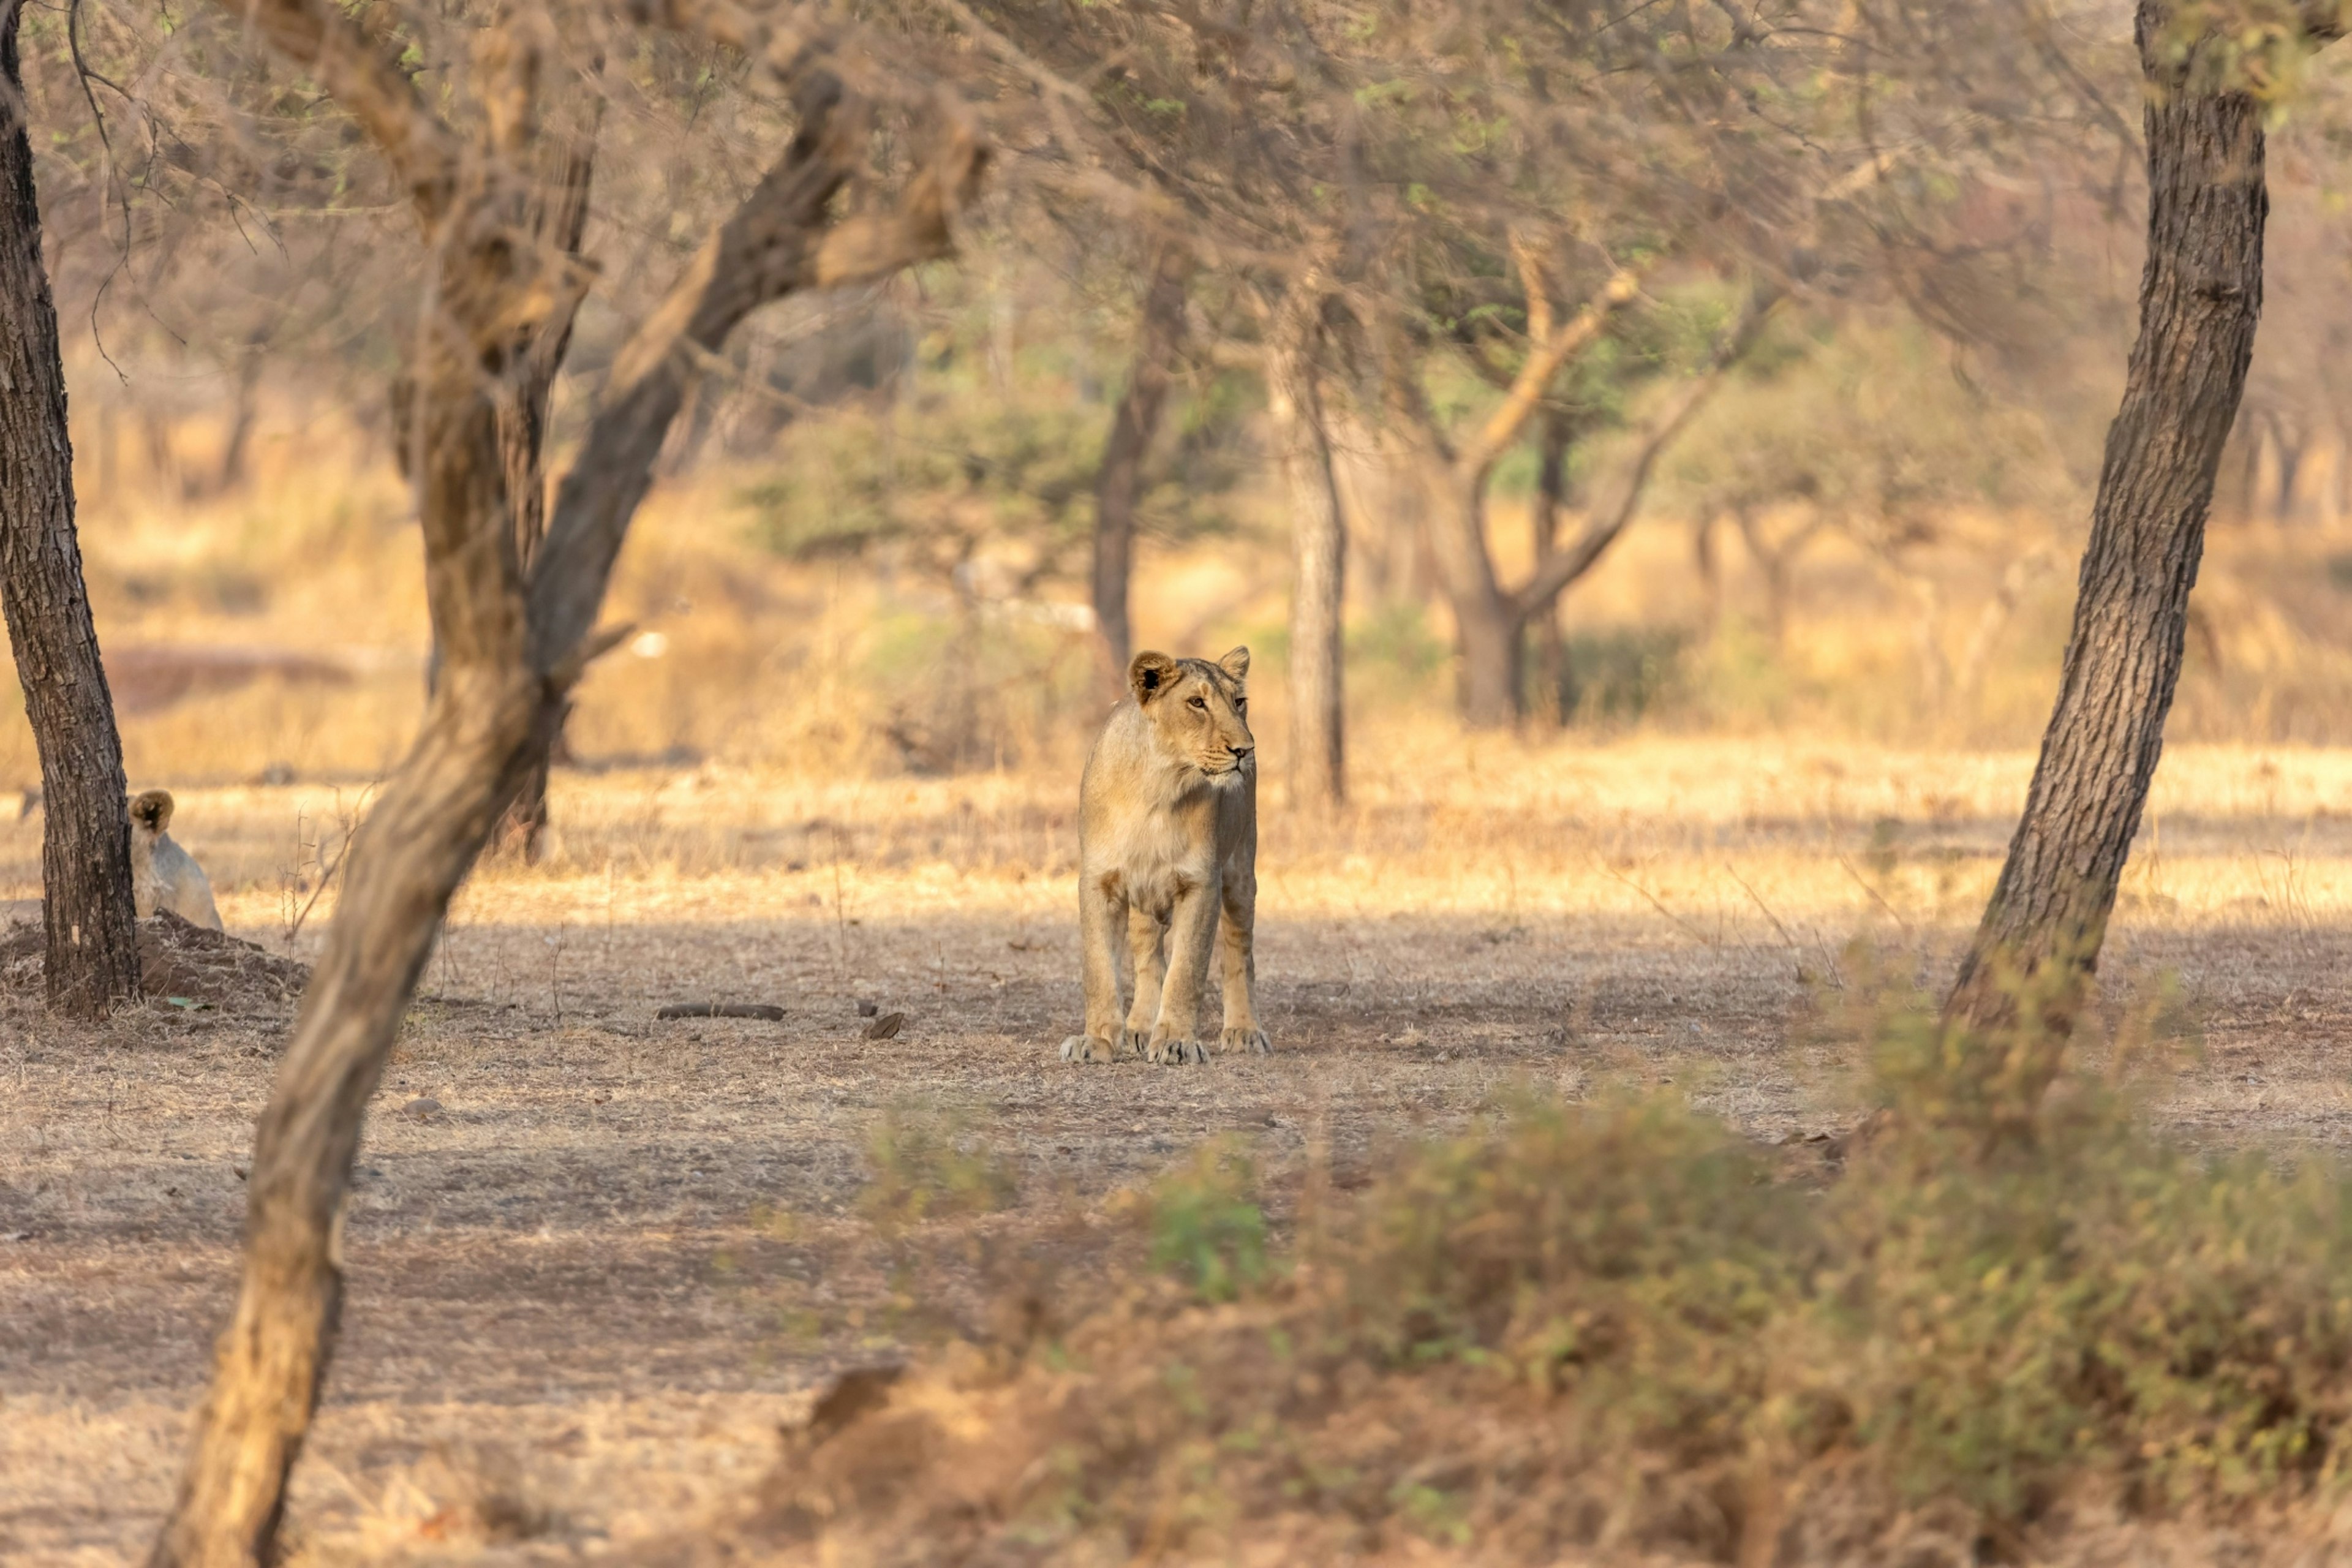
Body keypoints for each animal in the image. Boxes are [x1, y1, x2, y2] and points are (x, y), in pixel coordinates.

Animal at [1058, 649, 1270, 1067]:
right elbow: (1099, 967)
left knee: (1240, 952)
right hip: (1143, 897)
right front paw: (1098, 1040)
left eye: (1239, 701)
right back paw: (1139, 1027)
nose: (1245, 751)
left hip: (1241, 875)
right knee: (1148, 959)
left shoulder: (1202, 884)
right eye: (1197, 703)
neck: (1158, 788)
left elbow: (1188, 969)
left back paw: (1244, 1031)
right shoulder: (1099, 882)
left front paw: (1175, 1041)